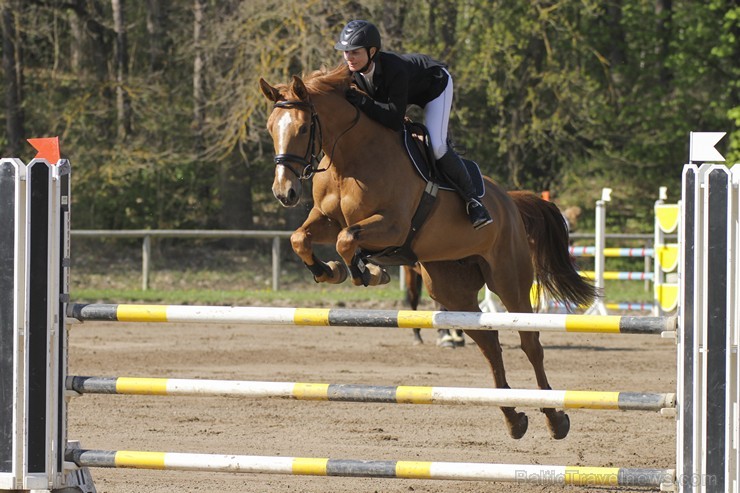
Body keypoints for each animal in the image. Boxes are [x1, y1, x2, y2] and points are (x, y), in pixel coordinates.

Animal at [260, 64, 596, 438]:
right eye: (271, 128)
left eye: (304, 128)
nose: (284, 192)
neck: (349, 159)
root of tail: (509, 200)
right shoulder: (326, 219)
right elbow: (300, 238)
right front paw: (330, 271)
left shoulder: (392, 225)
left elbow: (347, 239)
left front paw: (368, 272)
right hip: (451, 288)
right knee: (490, 344)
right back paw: (514, 418)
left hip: (509, 278)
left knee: (530, 342)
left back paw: (555, 418)